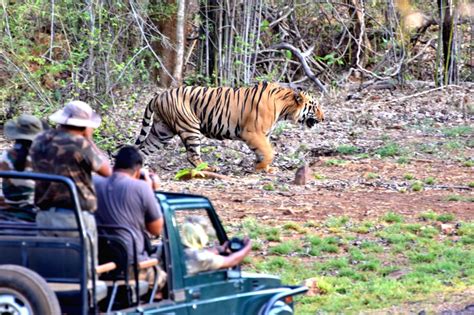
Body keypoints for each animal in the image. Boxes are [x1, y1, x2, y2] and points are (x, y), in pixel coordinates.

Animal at [135, 81, 324, 173]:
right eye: (315, 106)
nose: (323, 118)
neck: (284, 107)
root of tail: (158, 96)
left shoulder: (263, 135)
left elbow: (263, 152)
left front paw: (265, 167)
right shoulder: (252, 133)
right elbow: (269, 152)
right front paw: (260, 168)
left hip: (161, 131)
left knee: (144, 148)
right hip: (189, 127)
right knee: (192, 155)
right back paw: (209, 168)